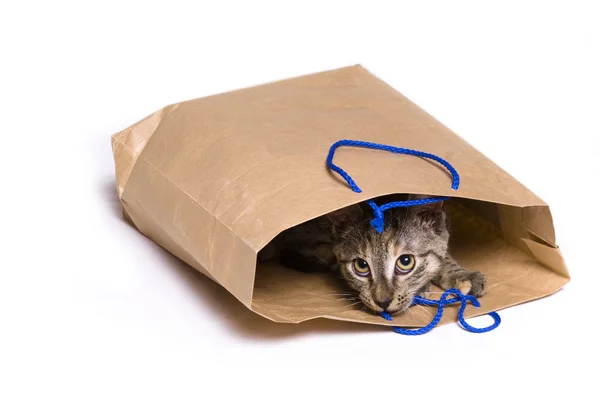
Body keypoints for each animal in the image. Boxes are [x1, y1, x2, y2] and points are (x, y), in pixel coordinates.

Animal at [258, 195, 488, 318]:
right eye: (361, 265)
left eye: (406, 262)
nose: (383, 302)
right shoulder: (307, 242)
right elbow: (329, 256)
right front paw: (422, 287)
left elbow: (442, 254)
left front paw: (462, 275)